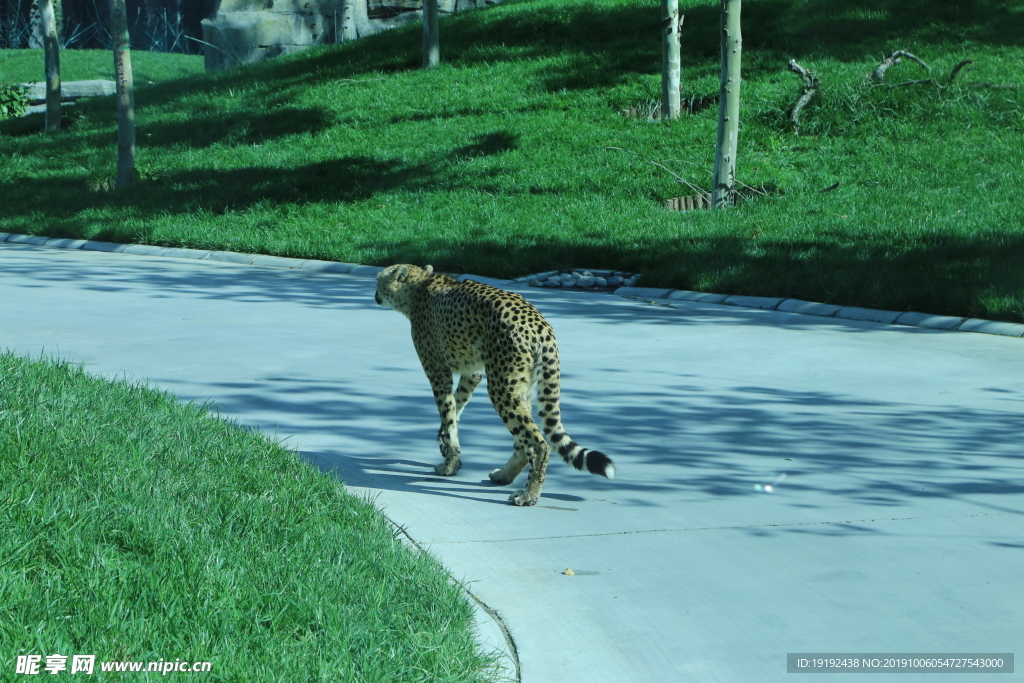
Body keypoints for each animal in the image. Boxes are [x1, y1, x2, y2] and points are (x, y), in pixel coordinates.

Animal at [376, 264, 614, 505]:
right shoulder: (472, 373)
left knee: (538, 444)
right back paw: (504, 475)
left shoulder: (438, 371)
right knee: (523, 440)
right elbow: (455, 407)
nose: (375, 295)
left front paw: (449, 465)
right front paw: (445, 445)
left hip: (502, 387)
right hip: (519, 384)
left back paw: (528, 495)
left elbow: (448, 412)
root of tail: (541, 325)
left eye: (378, 281)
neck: (420, 286)